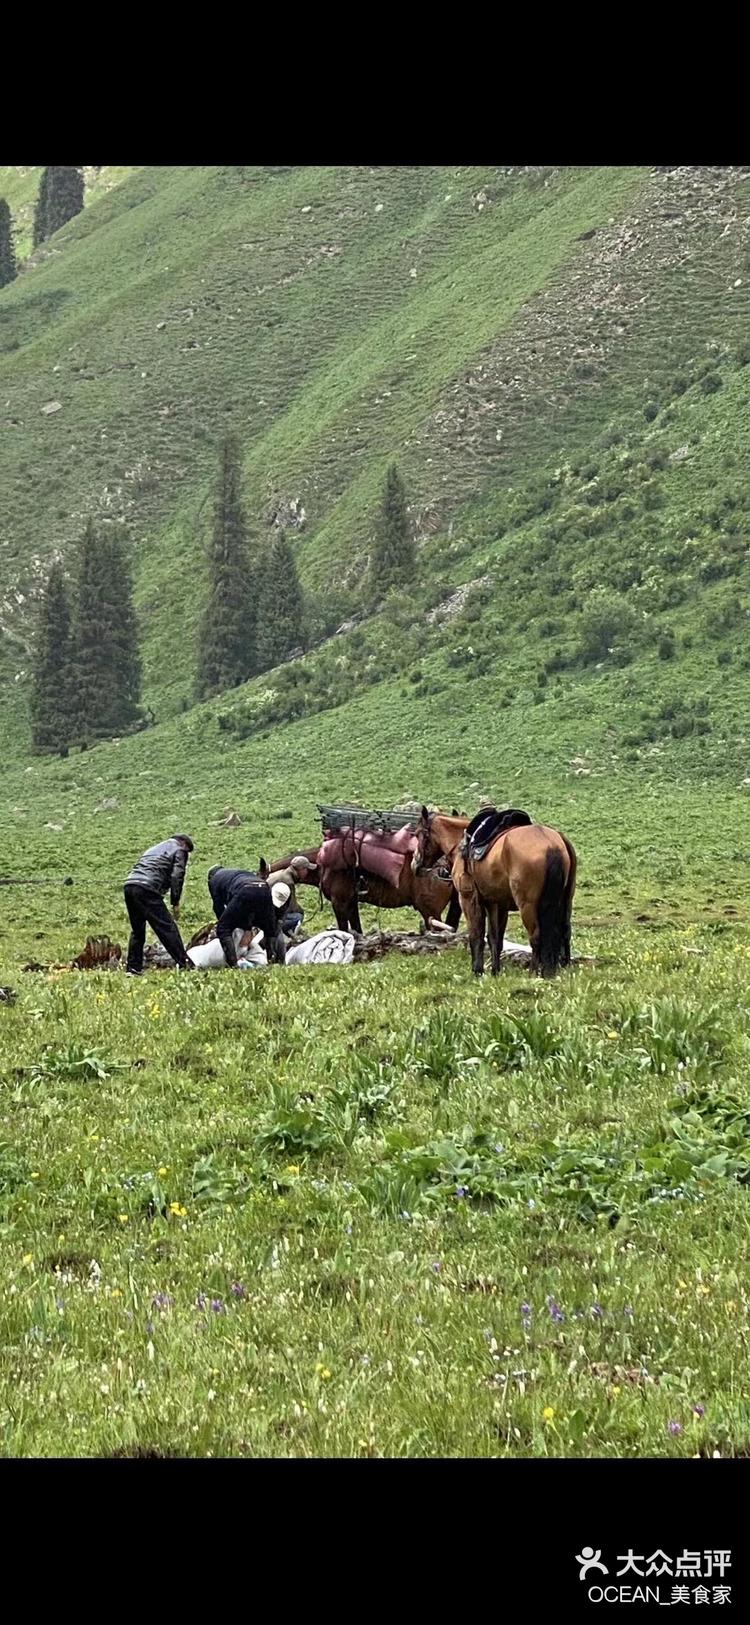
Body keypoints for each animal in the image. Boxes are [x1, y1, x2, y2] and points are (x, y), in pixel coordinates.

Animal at [266, 845, 461, 936]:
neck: (326, 866)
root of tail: (445, 868)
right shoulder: (352, 902)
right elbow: (357, 928)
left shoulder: (339, 903)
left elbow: (343, 928)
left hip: (429, 911)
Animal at [412, 809, 577, 975]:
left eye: (419, 834)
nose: (415, 864)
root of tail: (551, 845)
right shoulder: (496, 904)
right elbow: (495, 938)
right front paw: (495, 970)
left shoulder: (468, 899)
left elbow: (476, 935)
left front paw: (477, 970)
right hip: (565, 901)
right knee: (565, 931)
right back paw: (564, 966)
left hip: (527, 905)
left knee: (536, 937)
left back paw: (533, 972)